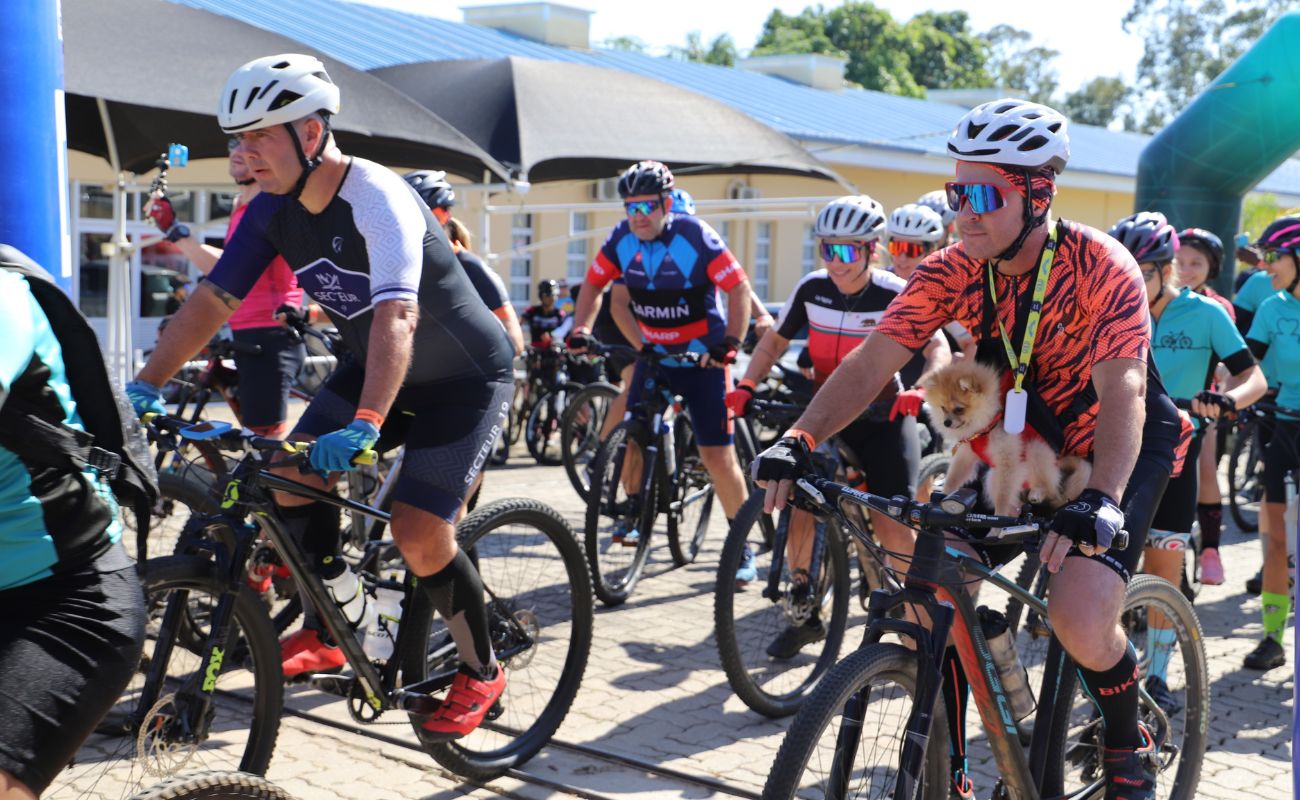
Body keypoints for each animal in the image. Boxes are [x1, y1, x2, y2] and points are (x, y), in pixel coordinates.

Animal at [920, 359, 1092, 517]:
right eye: (943, 408)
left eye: (959, 409)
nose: (946, 422)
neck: (986, 428)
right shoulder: (967, 453)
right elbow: (954, 476)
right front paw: (945, 492)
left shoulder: (1007, 460)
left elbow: (1002, 498)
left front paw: (1000, 514)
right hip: (994, 478)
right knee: (1015, 504)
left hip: (1036, 450)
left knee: (1049, 487)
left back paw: (1037, 493)